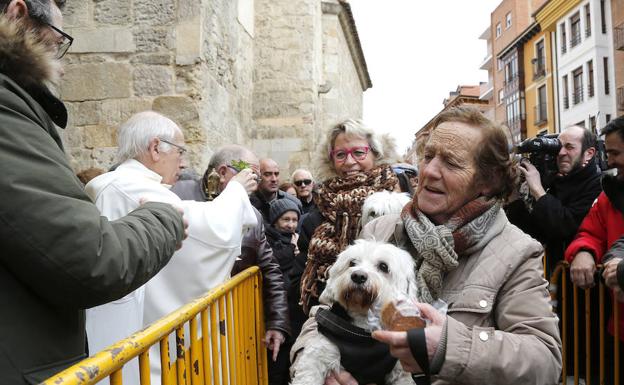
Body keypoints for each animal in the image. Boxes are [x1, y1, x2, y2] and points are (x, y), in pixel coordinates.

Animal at [288, 238, 416, 382]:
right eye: (352, 263)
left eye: (383, 266)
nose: (358, 276)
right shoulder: (320, 353)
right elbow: (309, 374)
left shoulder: (399, 369)